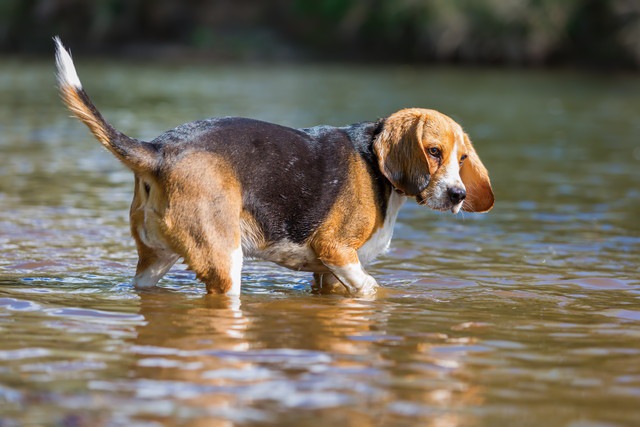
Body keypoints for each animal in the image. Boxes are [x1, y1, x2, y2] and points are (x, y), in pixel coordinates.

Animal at [55, 37, 496, 298]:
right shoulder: (336, 251)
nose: (458, 195)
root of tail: (159, 151)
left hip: (155, 262)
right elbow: (370, 288)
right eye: (433, 152)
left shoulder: (326, 273)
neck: (377, 166)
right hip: (225, 262)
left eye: (462, 159)